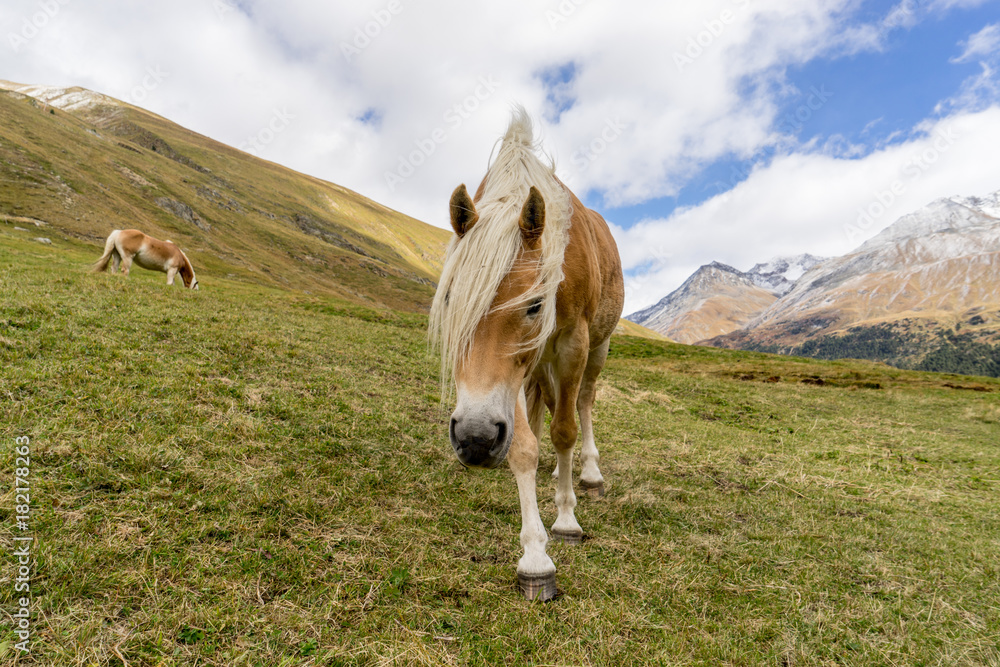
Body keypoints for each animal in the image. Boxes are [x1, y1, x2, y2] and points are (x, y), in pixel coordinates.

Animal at [430, 108, 624, 600]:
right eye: (449, 299)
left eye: (535, 305)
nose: (475, 439)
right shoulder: (511, 375)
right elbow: (523, 444)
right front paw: (535, 557)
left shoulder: (572, 343)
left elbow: (565, 431)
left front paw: (567, 519)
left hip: (598, 347)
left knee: (583, 403)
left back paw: (588, 474)